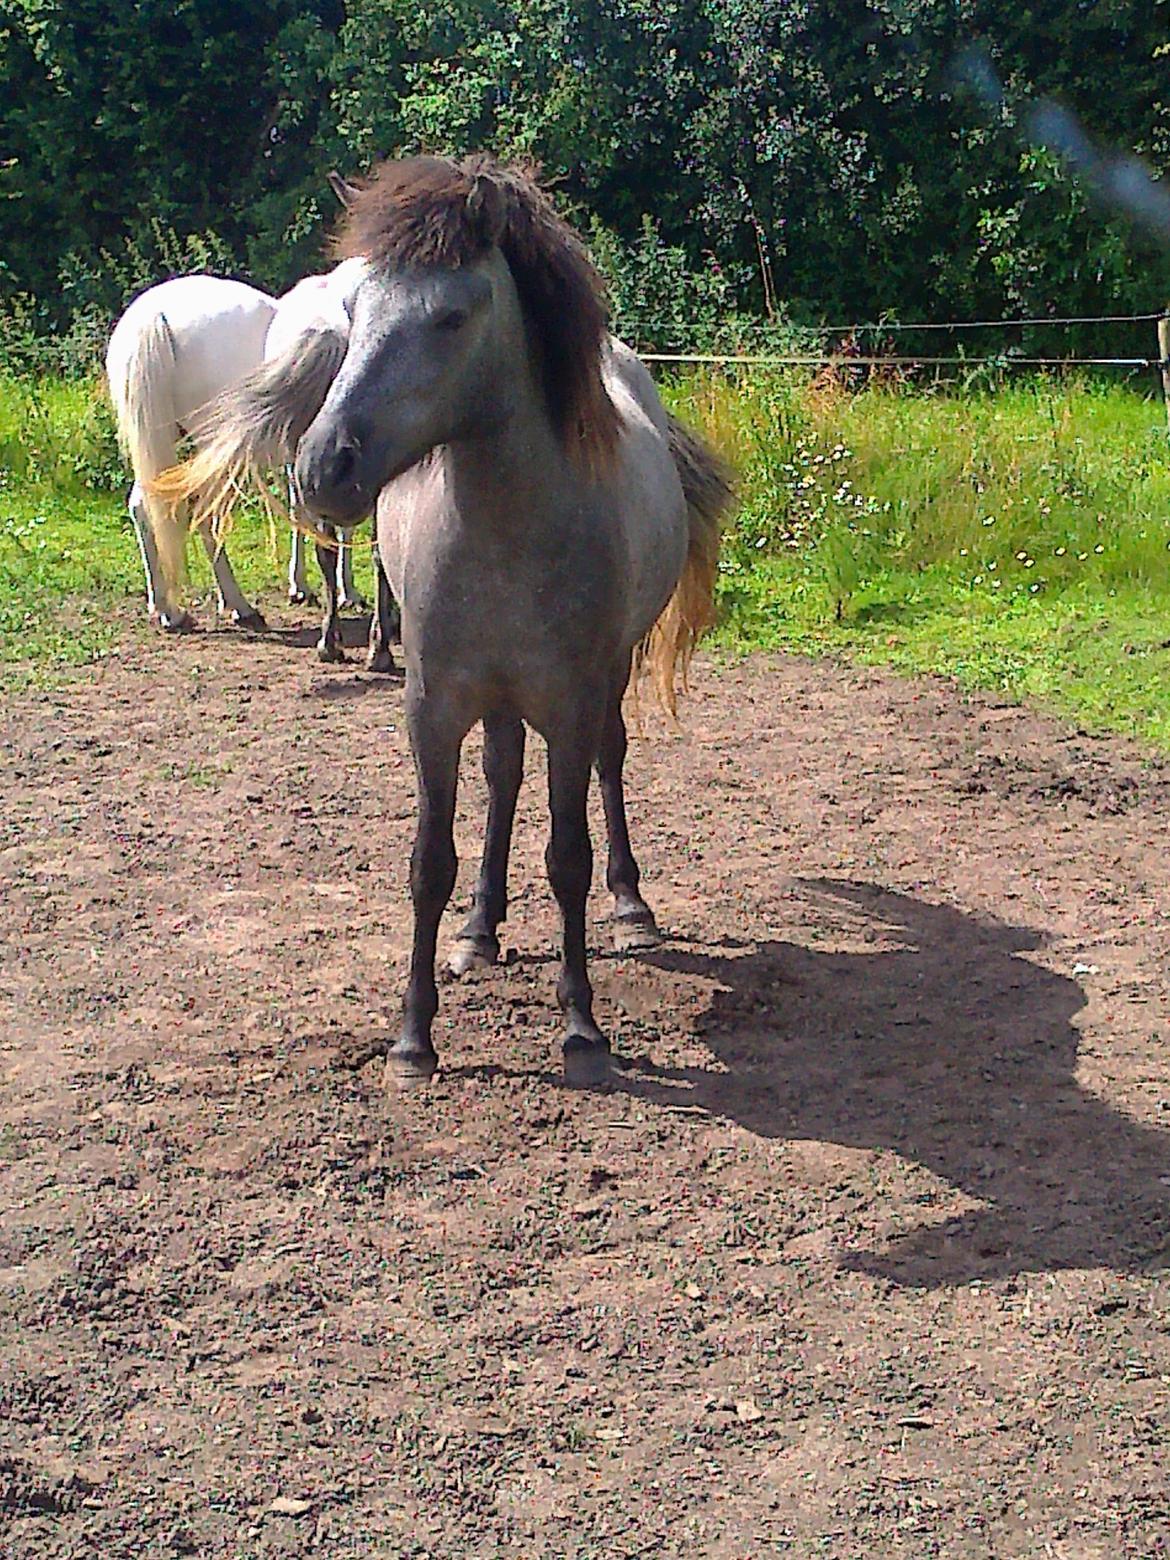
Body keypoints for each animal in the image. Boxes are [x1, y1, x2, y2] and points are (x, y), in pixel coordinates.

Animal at [109, 258, 371, 630]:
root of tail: (154, 316)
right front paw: (347, 591)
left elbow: (301, 511)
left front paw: (301, 586)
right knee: (204, 513)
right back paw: (237, 605)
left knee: (144, 506)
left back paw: (165, 609)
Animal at [165, 155, 733, 1085]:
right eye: (353, 311)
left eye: (452, 316)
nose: (324, 468)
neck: (507, 531)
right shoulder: (432, 707)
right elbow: (430, 861)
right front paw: (413, 1035)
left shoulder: (571, 704)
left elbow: (568, 859)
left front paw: (581, 1025)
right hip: (495, 698)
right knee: (502, 778)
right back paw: (480, 929)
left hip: (604, 680)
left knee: (608, 768)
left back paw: (631, 907)